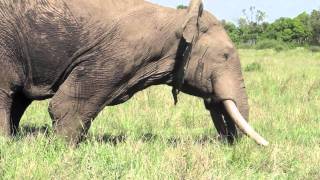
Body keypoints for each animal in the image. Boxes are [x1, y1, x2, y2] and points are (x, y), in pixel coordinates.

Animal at [0, 0, 268, 146]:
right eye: (225, 56)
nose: (228, 144)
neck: (179, 18)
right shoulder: (116, 54)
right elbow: (67, 104)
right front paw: (61, 149)